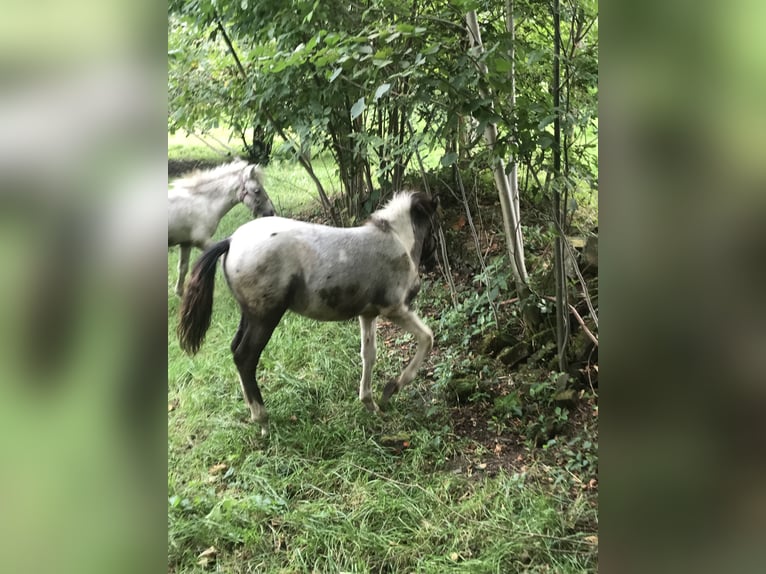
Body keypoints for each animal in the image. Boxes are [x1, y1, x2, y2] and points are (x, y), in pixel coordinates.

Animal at [176, 192, 436, 436]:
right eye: (433, 226)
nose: (430, 267)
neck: (395, 240)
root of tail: (230, 241)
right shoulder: (395, 309)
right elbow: (427, 337)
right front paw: (392, 388)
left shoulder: (368, 314)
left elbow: (369, 355)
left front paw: (370, 403)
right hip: (265, 317)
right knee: (245, 357)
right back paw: (263, 420)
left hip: (249, 314)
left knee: (234, 349)